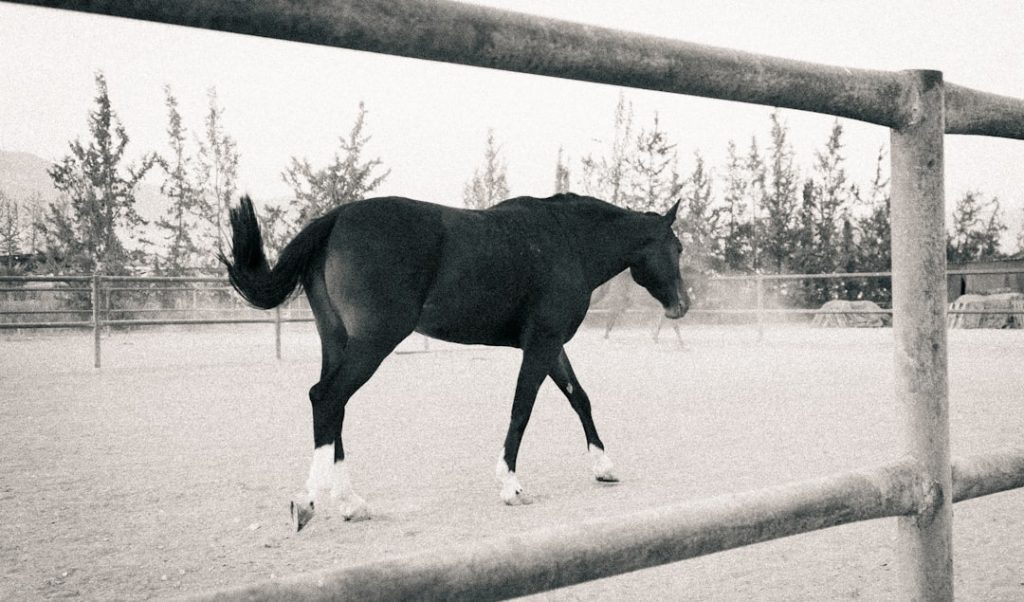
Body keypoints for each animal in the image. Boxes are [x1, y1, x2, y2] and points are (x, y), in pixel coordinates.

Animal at [220, 192, 689, 530]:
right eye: (678, 248)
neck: (566, 240)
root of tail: (337, 218)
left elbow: (580, 398)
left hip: (337, 341)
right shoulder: (541, 345)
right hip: (373, 343)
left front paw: (604, 467)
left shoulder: (551, 345)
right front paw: (511, 485)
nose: (682, 304)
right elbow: (522, 408)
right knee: (327, 398)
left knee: (333, 408)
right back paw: (310, 503)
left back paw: (350, 503)